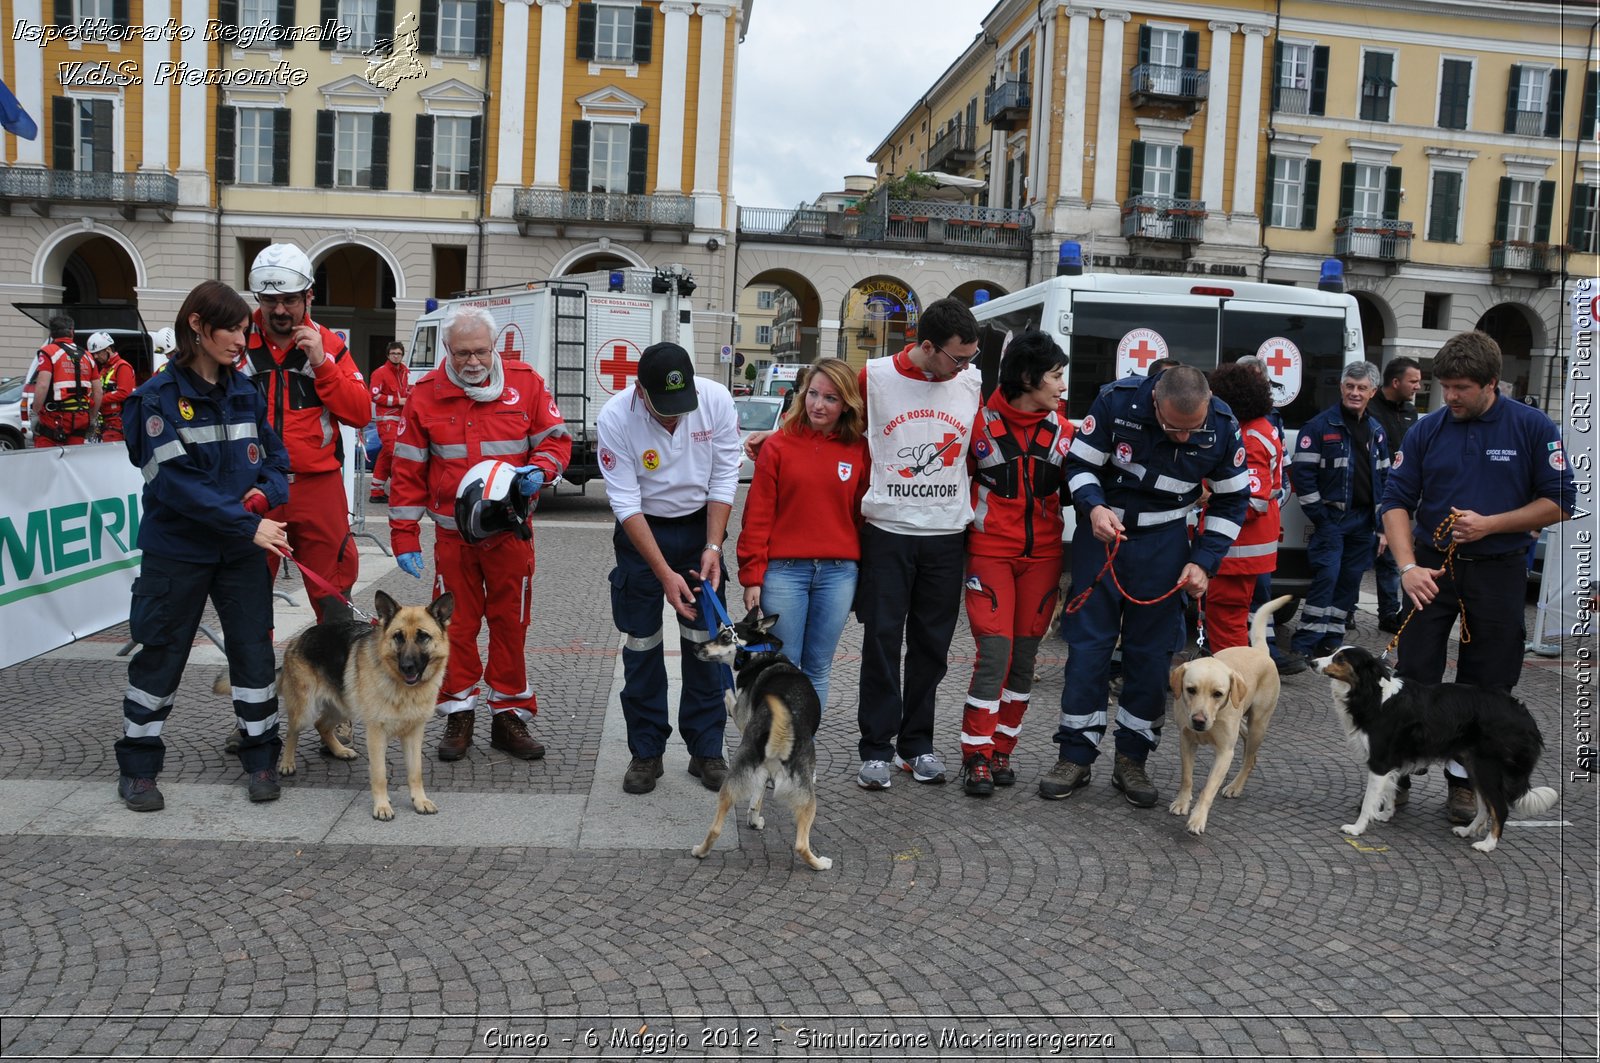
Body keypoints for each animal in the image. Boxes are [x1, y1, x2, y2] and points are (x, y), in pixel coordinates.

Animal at [276, 592, 457, 816]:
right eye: (398, 636)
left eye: (423, 636)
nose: (406, 667)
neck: (403, 689)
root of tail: (298, 638)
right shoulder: (376, 734)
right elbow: (379, 774)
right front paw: (382, 806)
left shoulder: (414, 735)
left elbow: (415, 772)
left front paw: (420, 800)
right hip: (305, 711)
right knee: (292, 731)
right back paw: (287, 763)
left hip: (343, 706)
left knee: (321, 725)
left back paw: (340, 750)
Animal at [691, 614, 832, 870]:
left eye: (724, 637)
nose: (696, 647)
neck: (762, 654)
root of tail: (780, 733)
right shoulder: (740, 715)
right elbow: (730, 695)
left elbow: (756, 799)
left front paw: (754, 820)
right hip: (808, 800)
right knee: (801, 845)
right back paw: (821, 863)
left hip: (735, 780)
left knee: (716, 827)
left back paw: (701, 851)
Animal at [1164, 592, 1299, 832]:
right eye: (1191, 690)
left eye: (1218, 694)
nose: (1198, 721)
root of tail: (1260, 651)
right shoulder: (1186, 740)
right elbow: (1187, 777)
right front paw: (1182, 803)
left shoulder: (1225, 753)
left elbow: (1208, 788)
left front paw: (1198, 819)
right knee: (1245, 741)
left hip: (1259, 725)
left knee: (1250, 758)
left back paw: (1235, 786)